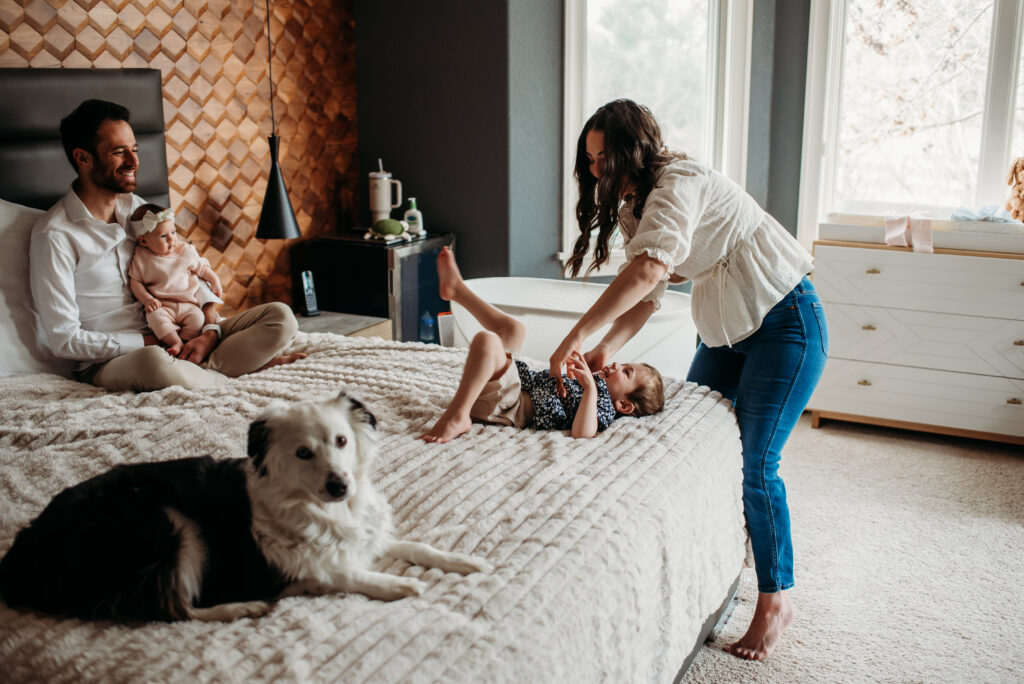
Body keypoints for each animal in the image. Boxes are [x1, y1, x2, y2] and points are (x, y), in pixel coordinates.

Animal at [0, 389, 491, 618]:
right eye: (303, 453)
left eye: (342, 441)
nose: (340, 486)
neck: (325, 510)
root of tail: (25, 546)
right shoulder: (315, 564)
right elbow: (350, 575)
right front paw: (400, 585)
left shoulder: (361, 534)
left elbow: (417, 547)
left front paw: (466, 562)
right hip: (170, 523)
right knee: (171, 609)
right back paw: (244, 607)